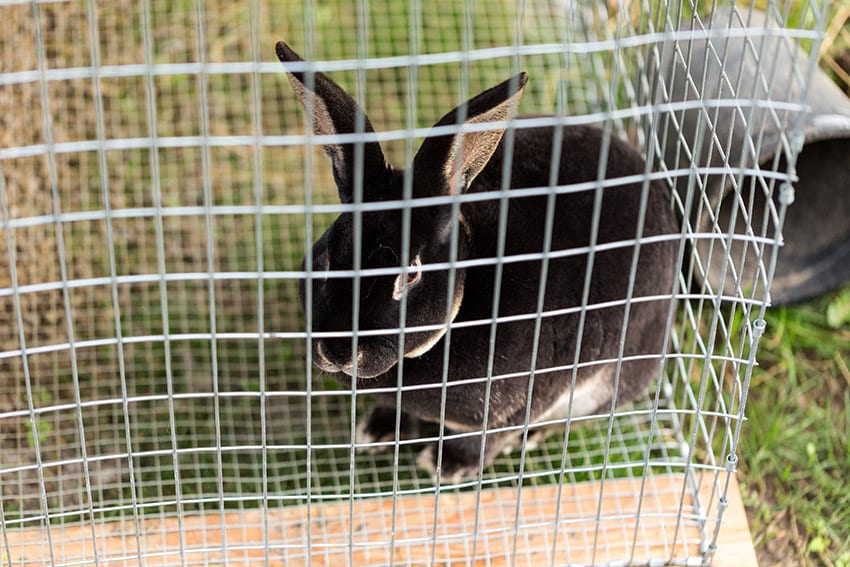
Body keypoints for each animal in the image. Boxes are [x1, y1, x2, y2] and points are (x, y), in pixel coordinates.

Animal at [274, 42, 680, 484]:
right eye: (329, 255)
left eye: (411, 274)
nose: (337, 354)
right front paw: (376, 432)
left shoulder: (525, 397)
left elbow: (489, 438)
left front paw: (446, 467)